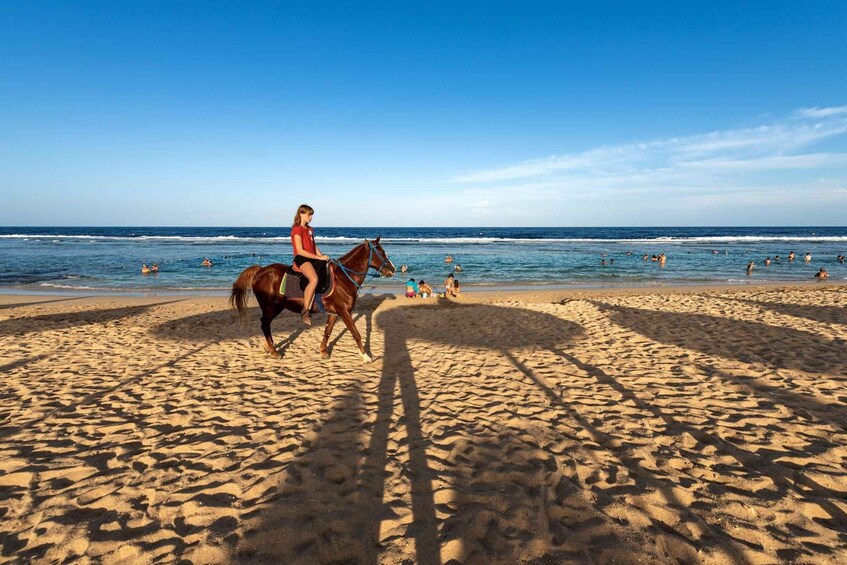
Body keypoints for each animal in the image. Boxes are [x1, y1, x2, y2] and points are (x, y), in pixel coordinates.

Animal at [227, 238, 396, 362]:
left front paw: (323, 351)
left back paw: (269, 347)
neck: (343, 278)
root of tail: (260, 271)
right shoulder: (345, 312)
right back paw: (274, 351)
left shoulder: (335, 313)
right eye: (381, 252)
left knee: (265, 324)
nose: (393, 269)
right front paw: (366, 356)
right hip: (270, 307)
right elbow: (356, 333)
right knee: (264, 324)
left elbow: (328, 331)